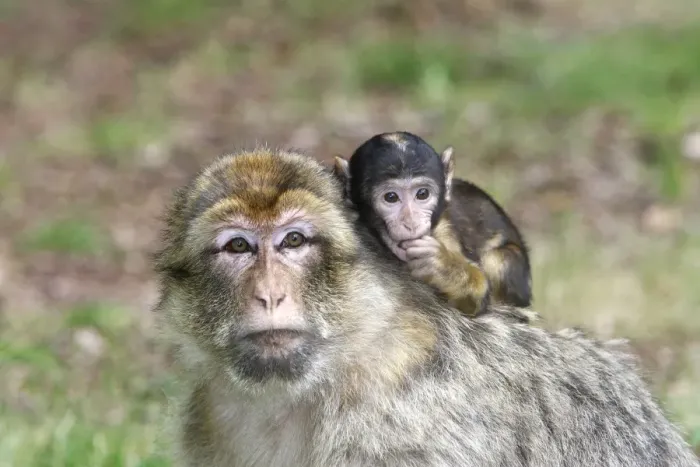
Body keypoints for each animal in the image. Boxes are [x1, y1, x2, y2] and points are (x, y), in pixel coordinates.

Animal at [333, 131, 532, 318]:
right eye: (391, 197)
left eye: (422, 194)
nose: (411, 222)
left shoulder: (445, 232)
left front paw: (443, 268)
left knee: (498, 259)